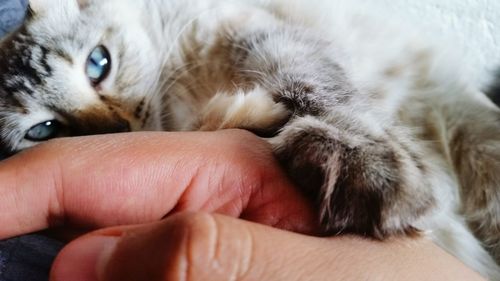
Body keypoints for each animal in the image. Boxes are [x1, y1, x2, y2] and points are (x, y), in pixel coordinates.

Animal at [0, 0, 500, 276]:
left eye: (98, 64)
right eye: (44, 130)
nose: (119, 129)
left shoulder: (252, 33)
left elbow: (319, 92)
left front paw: (365, 163)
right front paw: (244, 114)